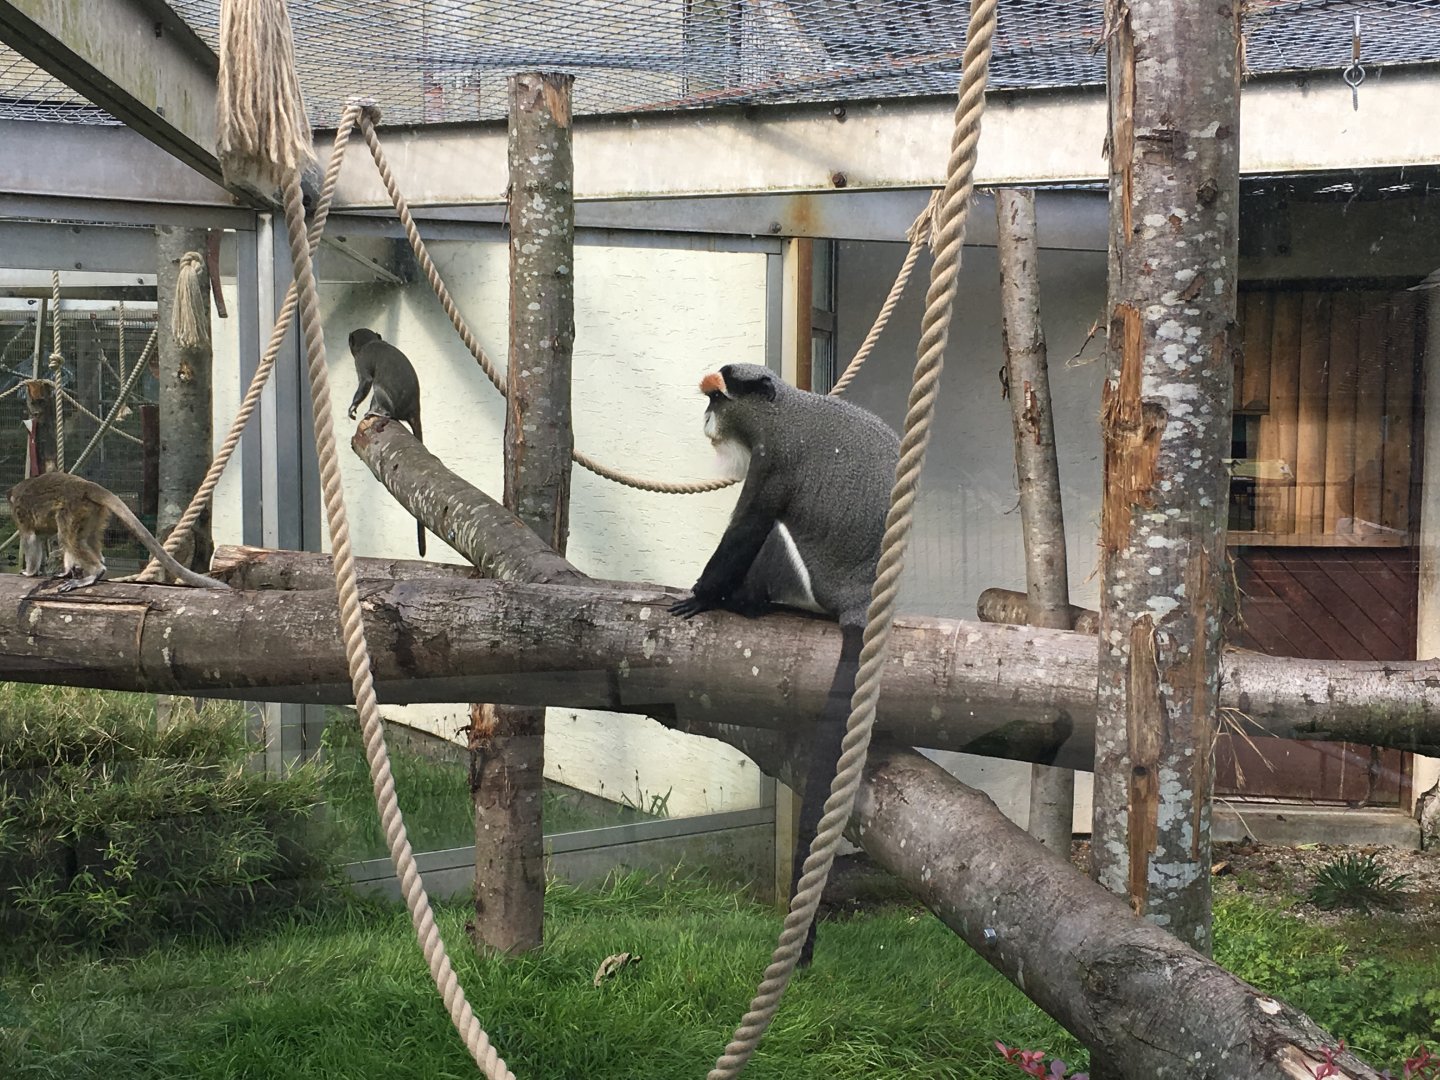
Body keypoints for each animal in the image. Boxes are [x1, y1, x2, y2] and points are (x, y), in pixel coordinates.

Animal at [8, 471, 228, 592]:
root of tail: (84, 485)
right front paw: (64, 571)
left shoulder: (20, 513)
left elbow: (30, 538)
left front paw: (29, 572)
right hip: (92, 510)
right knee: (81, 538)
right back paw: (89, 568)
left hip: (74, 506)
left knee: (67, 537)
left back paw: (95, 572)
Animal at [348, 327, 427, 556]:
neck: (371, 343)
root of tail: (413, 408)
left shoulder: (362, 361)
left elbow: (366, 382)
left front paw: (354, 407)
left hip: (392, 403)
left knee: (377, 387)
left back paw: (383, 414)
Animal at [670, 363, 899, 966]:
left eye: (716, 400)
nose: (705, 423)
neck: (786, 406)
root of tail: (858, 606)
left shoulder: (773, 460)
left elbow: (749, 523)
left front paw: (702, 596)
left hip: (805, 585)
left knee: (772, 533)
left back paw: (742, 603)